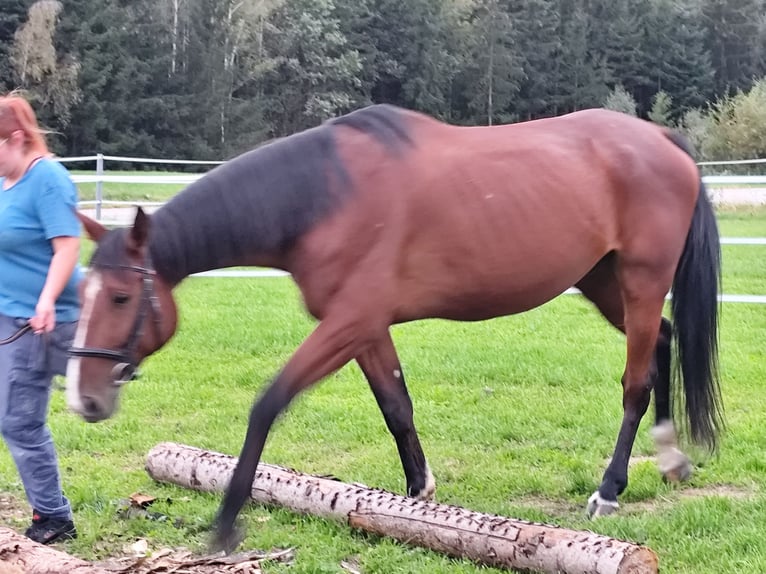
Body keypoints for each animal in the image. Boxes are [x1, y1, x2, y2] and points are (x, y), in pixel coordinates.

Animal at [69, 104, 724, 552]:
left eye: (122, 296)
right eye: (84, 292)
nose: (84, 400)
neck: (324, 194)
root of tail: (660, 139)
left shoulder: (349, 322)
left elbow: (268, 404)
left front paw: (227, 524)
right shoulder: (367, 328)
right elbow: (396, 406)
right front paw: (417, 500)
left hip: (640, 280)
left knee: (635, 382)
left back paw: (609, 490)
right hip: (603, 282)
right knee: (663, 342)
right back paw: (670, 458)